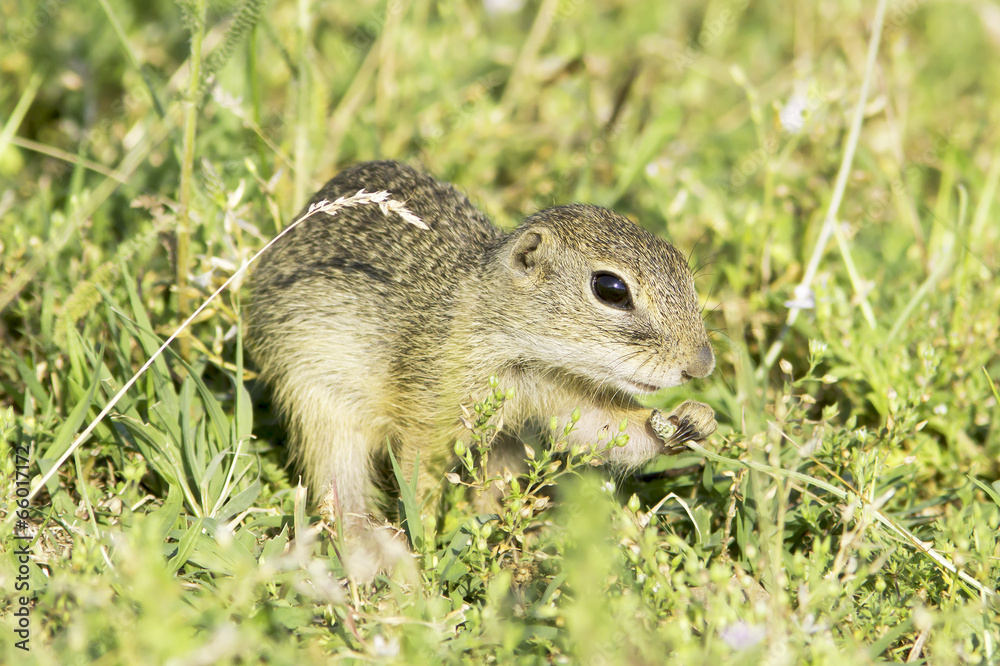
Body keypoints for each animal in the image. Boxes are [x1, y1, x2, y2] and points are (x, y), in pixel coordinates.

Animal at [246, 160, 717, 568]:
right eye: (611, 289)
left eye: (684, 268)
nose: (702, 366)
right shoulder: (428, 409)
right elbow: (419, 477)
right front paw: (425, 545)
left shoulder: (565, 392)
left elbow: (604, 429)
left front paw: (694, 420)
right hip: (319, 404)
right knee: (338, 486)